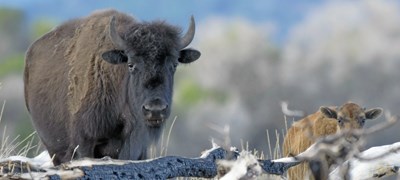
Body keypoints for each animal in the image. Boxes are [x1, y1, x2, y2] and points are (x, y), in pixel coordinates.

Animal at [23, 9, 202, 165]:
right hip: (55, 149)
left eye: (174, 65)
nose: (155, 109)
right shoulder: (84, 143)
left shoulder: (138, 147)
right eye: (130, 64)